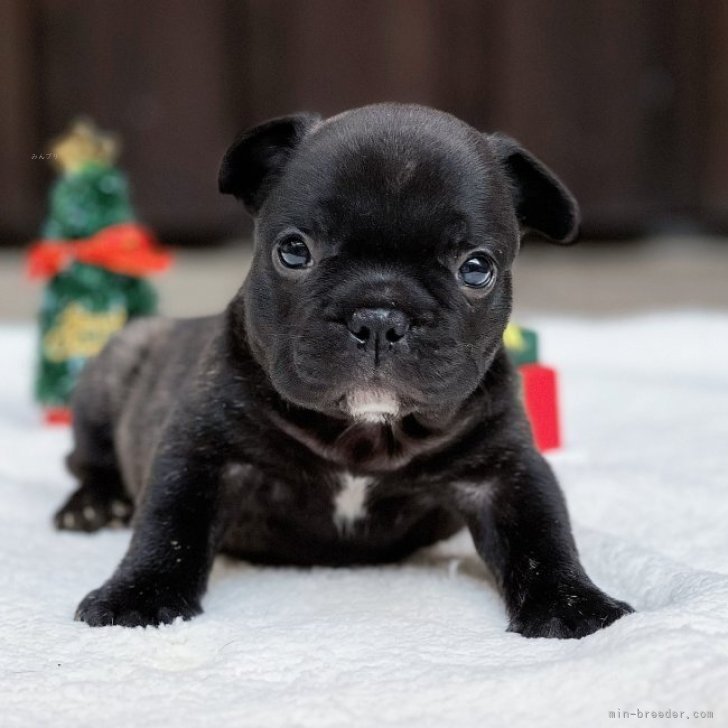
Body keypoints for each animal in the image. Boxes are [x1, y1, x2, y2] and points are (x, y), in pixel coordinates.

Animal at [55, 102, 632, 636]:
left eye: (476, 268)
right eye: (294, 251)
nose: (379, 317)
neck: (366, 434)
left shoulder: (506, 472)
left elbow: (544, 536)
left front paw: (575, 605)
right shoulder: (202, 453)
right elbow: (169, 525)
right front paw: (138, 595)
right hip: (113, 366)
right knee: (87, 460)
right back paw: (92, 506)